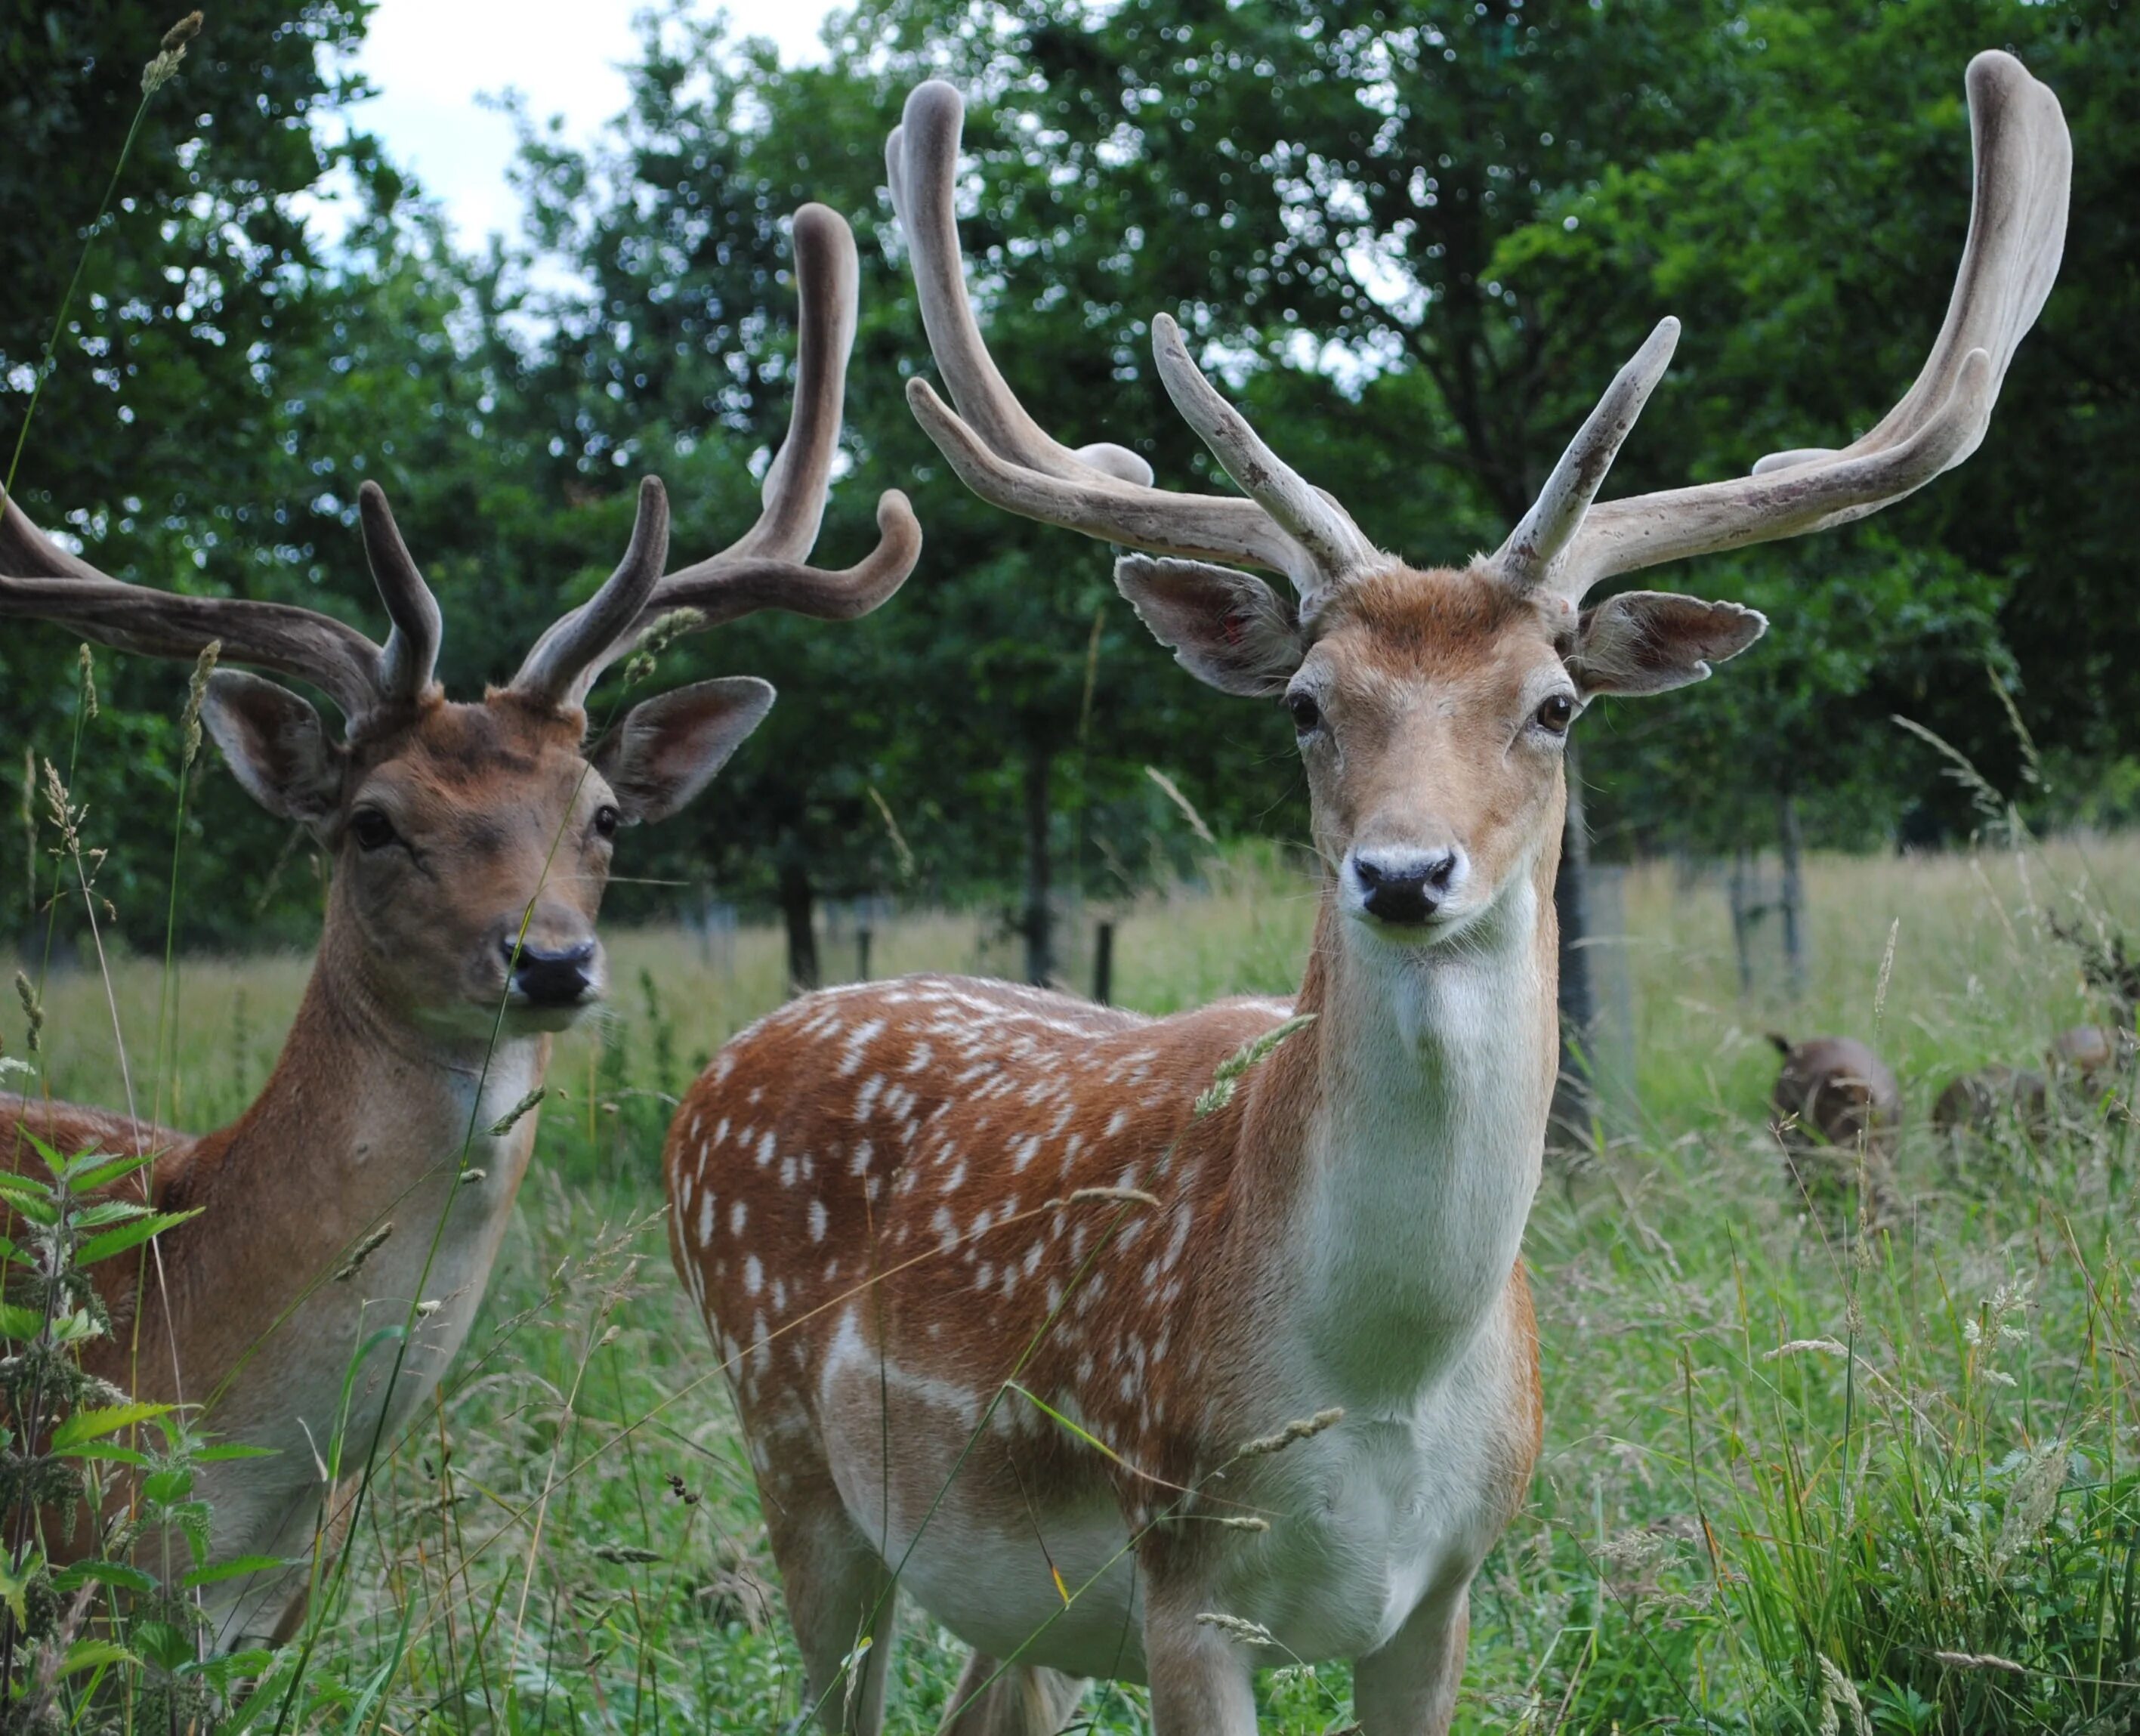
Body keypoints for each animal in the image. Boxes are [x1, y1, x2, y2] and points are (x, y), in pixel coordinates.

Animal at [667, 57, 2071, 1736]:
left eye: (1554, 706)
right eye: (1304, 705)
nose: (1403, 871)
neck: (1384, 1379)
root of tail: (729, 1059)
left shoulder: (1445, 1591)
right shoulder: (1182, 1575)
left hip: (1013, 1600)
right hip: (790, 1454)